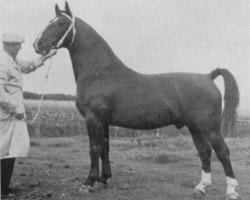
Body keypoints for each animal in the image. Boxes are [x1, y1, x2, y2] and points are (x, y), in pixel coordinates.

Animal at [33, 2, 240, 199]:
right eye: (50, 21)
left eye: (61, 23)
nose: (38, 44)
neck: (100, 73)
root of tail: (208, 77)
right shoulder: (104, 122)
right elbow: (105, 148)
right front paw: (103, 179)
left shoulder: (93, 119)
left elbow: (94, 148)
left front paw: (88, 182)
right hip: (194, 127)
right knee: (204, 151)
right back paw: (201, 187)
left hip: (210, 128)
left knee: (223, 152)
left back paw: (231, 190)